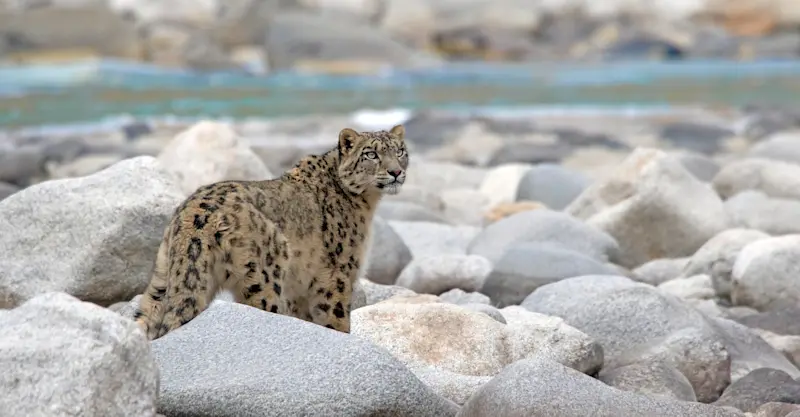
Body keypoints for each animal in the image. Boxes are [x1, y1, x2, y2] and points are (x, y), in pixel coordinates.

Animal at [133, 124, 408, 340]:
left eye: (400, 151)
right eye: (371, 154)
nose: (396, 171)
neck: (366, 204)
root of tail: (193, 215)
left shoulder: (299, 290)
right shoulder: (338, 273)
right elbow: (336, 319)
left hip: (162, 278)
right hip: (264, 278)